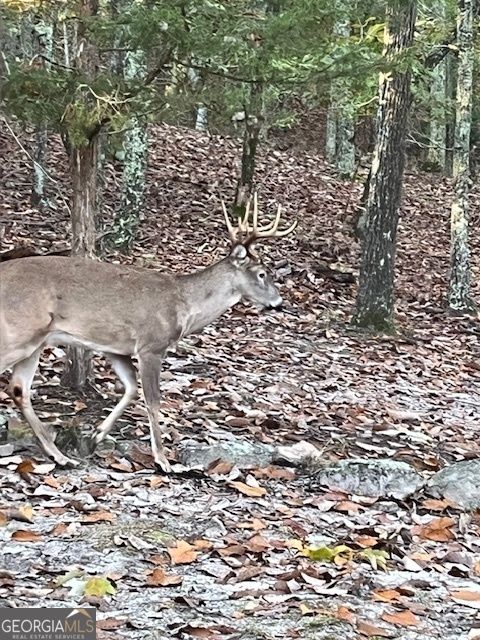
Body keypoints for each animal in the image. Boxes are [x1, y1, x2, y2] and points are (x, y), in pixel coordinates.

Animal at [0, 195, 294, 470]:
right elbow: (153, 400)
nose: (279, 302)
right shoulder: (152, 345)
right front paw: (162, 460)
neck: (184, 305)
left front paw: (96, 435)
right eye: (262, 273)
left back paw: (60, 456)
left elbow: (131, 388)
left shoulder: (116, 347)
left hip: (36, 340)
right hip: (19, 330)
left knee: (19, 388)